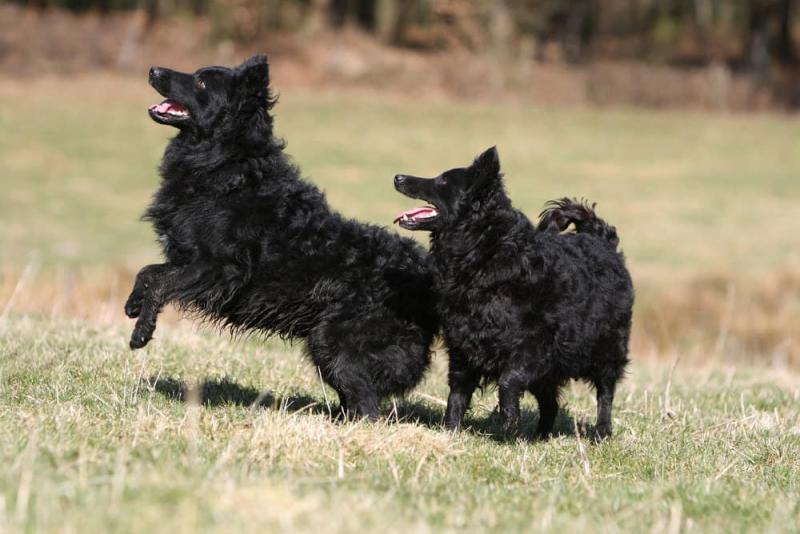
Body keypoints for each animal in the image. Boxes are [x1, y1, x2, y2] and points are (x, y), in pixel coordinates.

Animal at [125, 56, 438, 420]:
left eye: (201, 82)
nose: (153, 70)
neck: (227, 167)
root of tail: (426, 273)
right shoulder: (188, 259)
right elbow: (148, 272)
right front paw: (132, 304)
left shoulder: (219, 268)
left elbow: (161, 283)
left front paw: (142, 332)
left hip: (332, 341)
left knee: (367, 405)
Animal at [394, 147, 632, 440]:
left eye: (443, 181)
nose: (398, 177)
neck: (484, 250)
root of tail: (601, 239)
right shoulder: (462, 344)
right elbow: (457, 395)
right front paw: (450, 432)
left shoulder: (533, 348)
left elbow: (508, 382)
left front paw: (508, 423)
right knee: (550, 404)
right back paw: (540, 436)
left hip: (607, 350)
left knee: (605, 393)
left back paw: (602, 431)